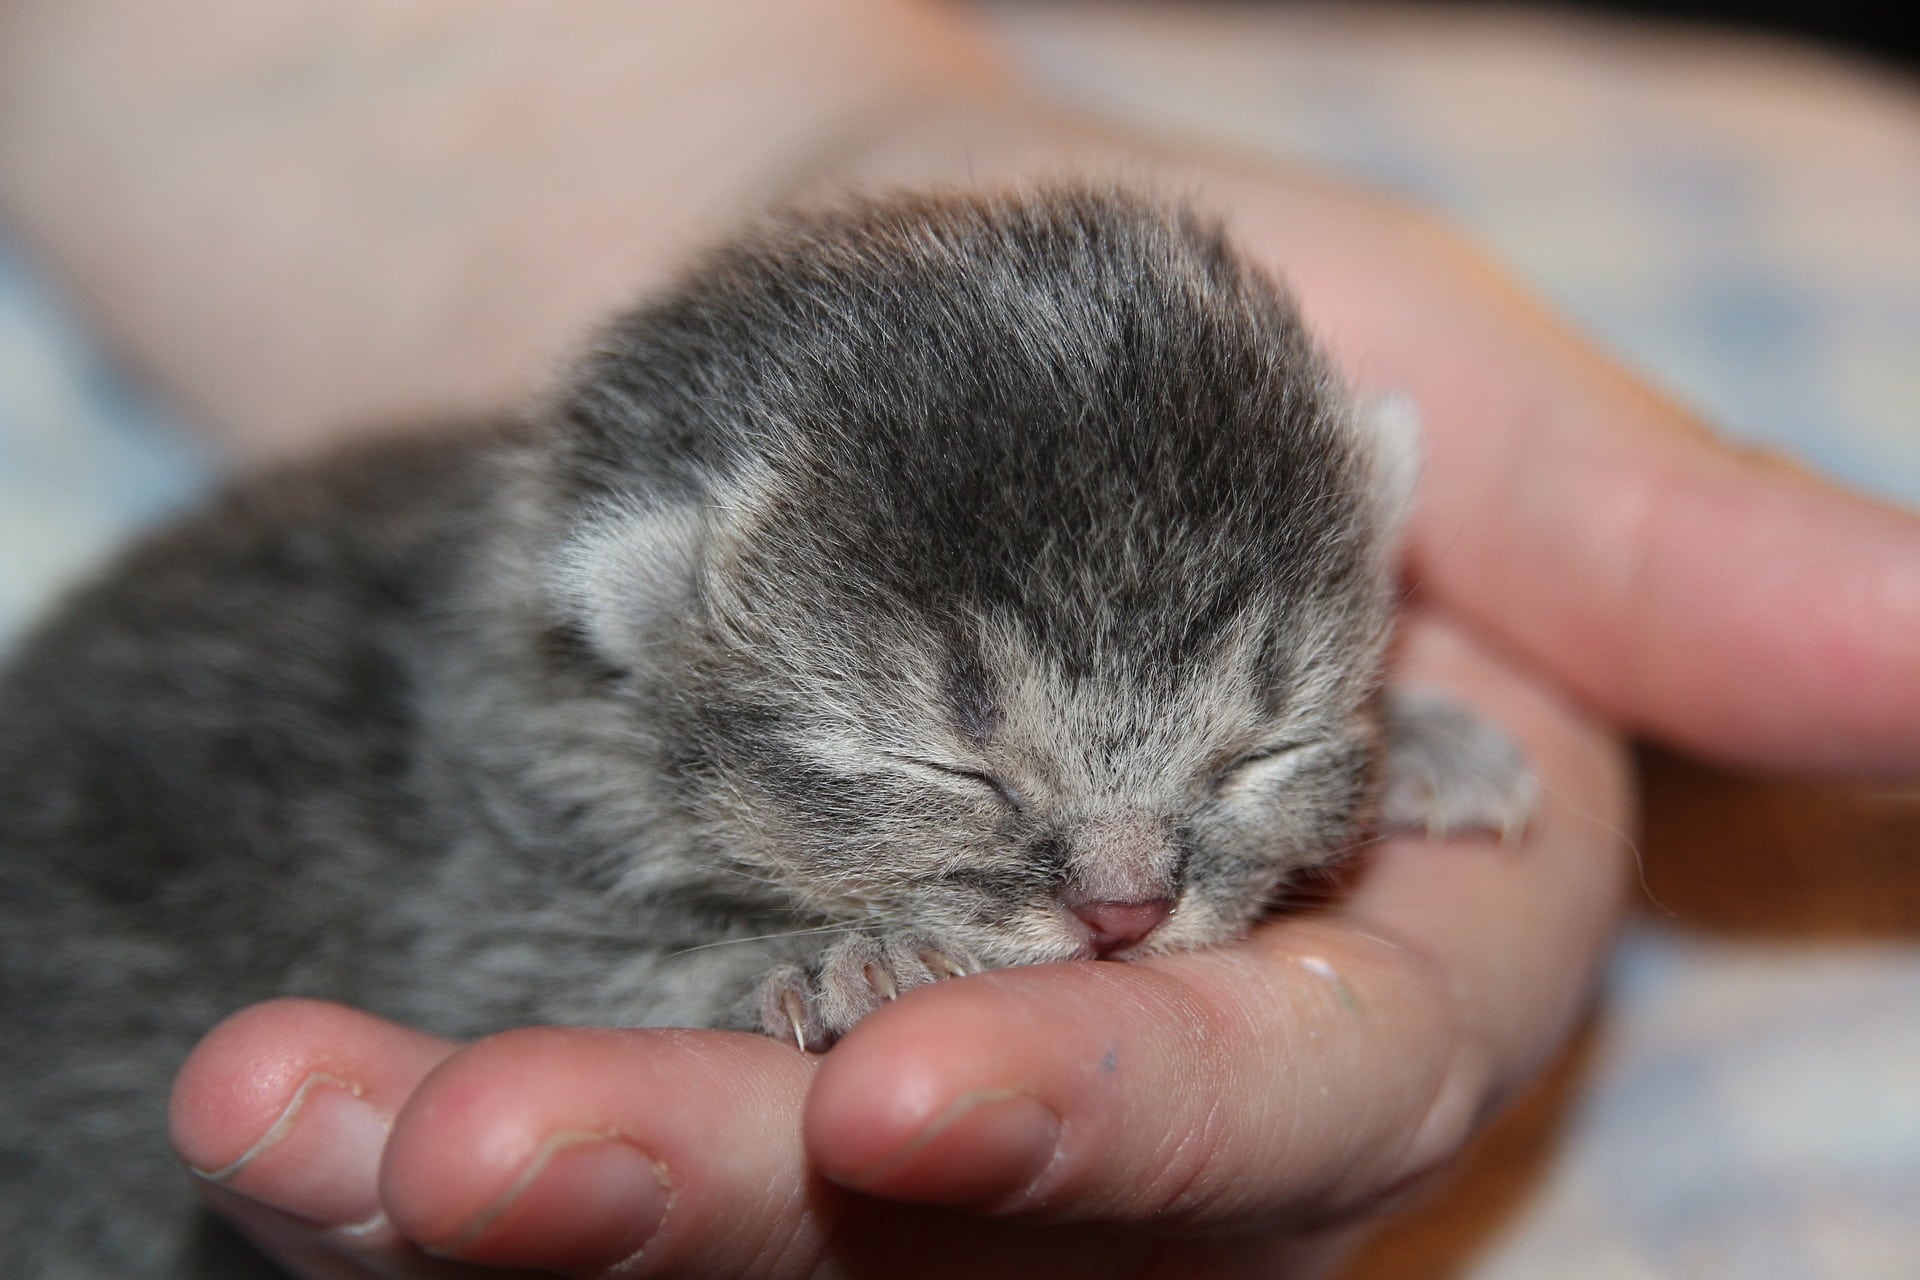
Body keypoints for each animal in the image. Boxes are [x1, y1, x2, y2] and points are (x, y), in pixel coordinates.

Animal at [0, 185, 1528, 1274]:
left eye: (1259, 752)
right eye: (952, 766)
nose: (1124, 912)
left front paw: (1434, 741)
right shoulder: (471, 890)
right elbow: (560, 964)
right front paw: (829, 957)